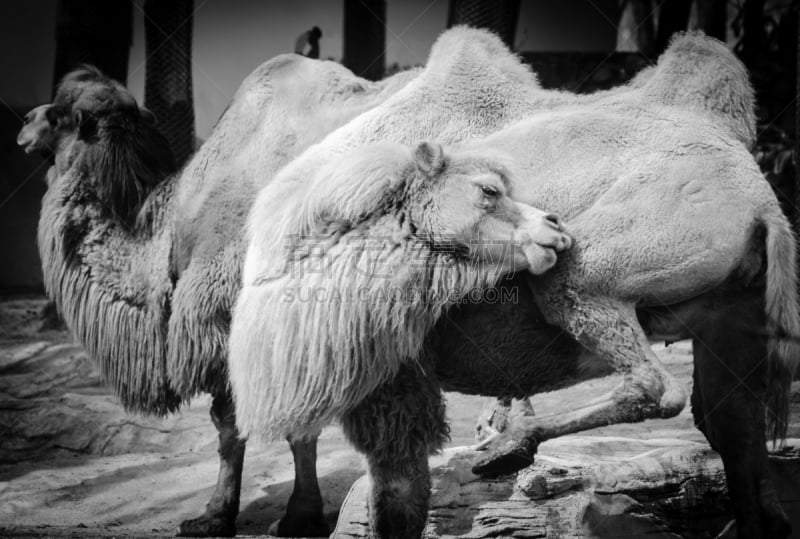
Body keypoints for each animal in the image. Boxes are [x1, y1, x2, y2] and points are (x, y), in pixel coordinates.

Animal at [26, 57, 418, 536]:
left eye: (59, 114)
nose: (24, 122)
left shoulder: (220, 314)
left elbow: (233, 424)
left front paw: (221, 514)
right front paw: (299, 514)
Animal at [228, 30, 796, 539]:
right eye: (488, 191)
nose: (554, 226)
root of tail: (762, 200)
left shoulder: (389, 377)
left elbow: (397, 496)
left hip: (611, 257)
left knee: (654, 382)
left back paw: (509, 447)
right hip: (733, 310)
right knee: (735, 427)